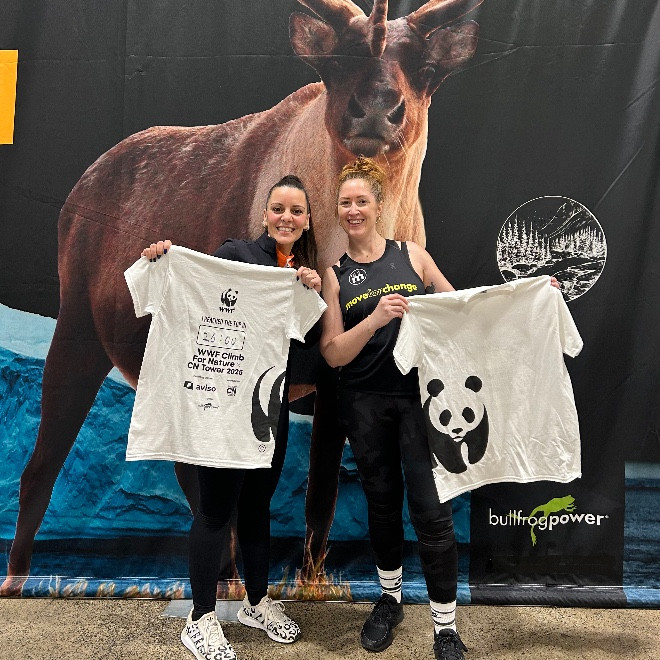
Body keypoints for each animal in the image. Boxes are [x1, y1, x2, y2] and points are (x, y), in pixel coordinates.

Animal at [1, 0, 482, 595]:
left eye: (427, 68)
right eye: (334, 62)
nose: (376, 108)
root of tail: (75, 196)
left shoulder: (333, 379)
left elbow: (319, 499)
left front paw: (307, 584)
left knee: (186, 470)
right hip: (77, 329)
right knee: (41, 466)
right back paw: (20, 579)